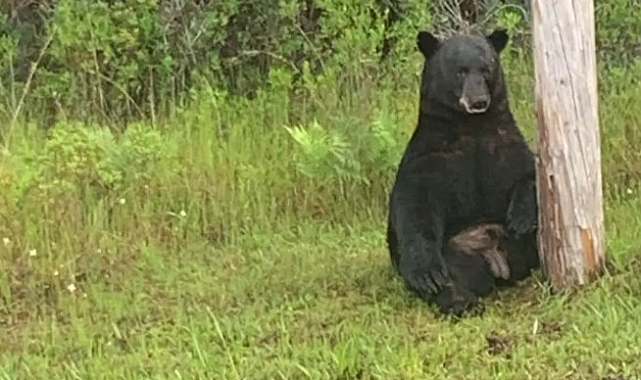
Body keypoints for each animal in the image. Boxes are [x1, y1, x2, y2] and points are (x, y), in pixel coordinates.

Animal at [384, 28, 540, 316]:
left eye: (486, 68)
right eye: (460, 71)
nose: (479, 101)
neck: (471, 126)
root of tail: (496, 259)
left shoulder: (504, 144)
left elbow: (529, 172)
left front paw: (521, 217)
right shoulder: (431, 157)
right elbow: (416, 206)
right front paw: (426, 273)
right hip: (455, 252)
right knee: (449, 276)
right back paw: (460, 300)